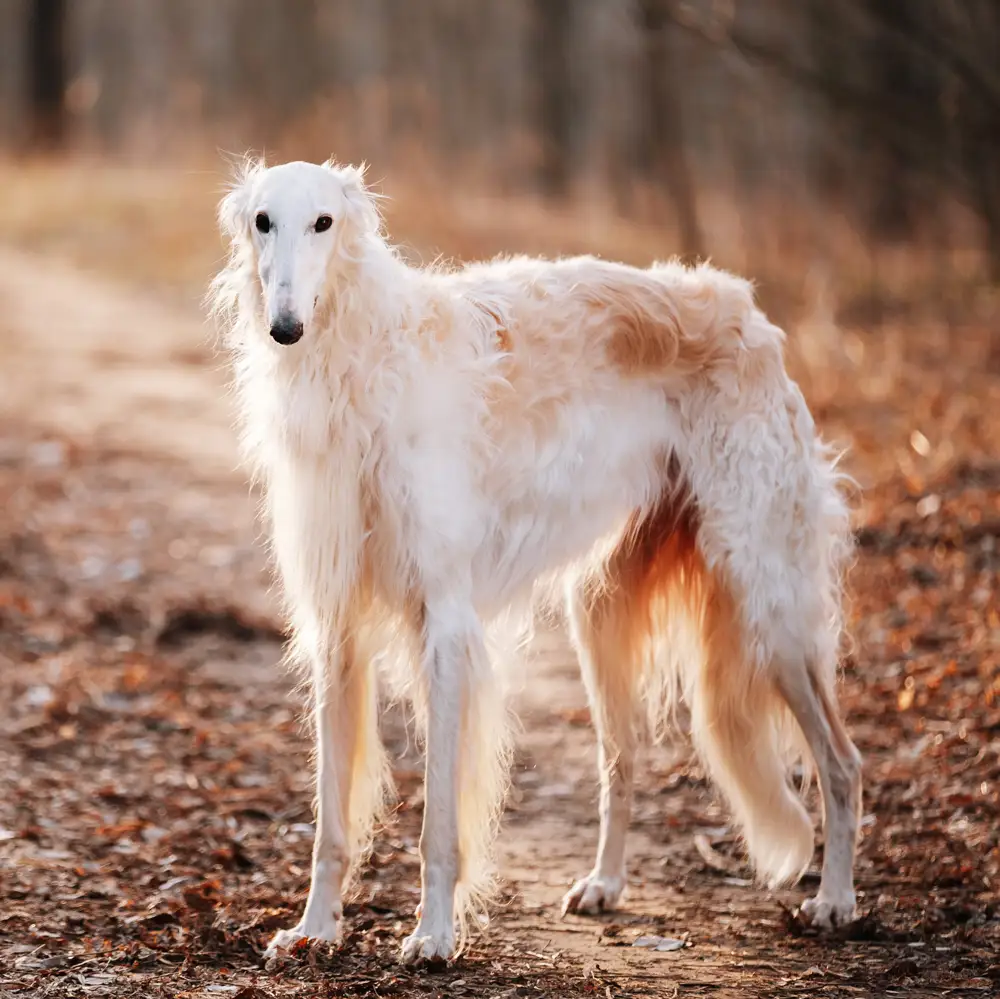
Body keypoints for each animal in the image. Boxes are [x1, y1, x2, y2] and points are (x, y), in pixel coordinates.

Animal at [209, 160, 860, 964]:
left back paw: (836, 899)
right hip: (603, 613)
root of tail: (751, 315)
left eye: (324, 222)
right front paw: (314, 929)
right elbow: (331, 819)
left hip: (768, 600)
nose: (285, 328)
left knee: (842, 761)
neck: (362, 363)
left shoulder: (444, 622)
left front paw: (433, 935)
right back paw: (605, 883)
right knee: (623, 759)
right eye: (262, 220)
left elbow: (439, 823)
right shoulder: (337, 627)